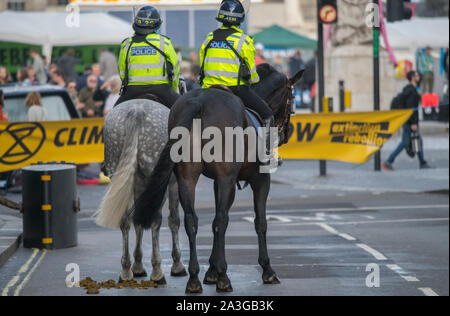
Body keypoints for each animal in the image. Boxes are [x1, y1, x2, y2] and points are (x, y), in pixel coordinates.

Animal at [95, 100, 186, 284]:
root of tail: (136, 111)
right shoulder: (173, 183)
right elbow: (174, 220)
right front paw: (177, 265)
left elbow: (137, 221)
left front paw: (137, 265)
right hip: (158, 179)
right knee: (156, 220)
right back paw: (157, 271)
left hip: (119, 174)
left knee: (126, 220)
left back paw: (126, 270)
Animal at [133, 64, 302, 294]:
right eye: (291, 98)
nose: (287, 132)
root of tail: (198, 103)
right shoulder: (256, 180)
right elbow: (260, 222)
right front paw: (266, 269)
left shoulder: (219, 182)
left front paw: (211, 271)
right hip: (225, 178)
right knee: (221, 220)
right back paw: (223, 277)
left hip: (188, 177)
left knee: (192, 221)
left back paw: (194, 278)